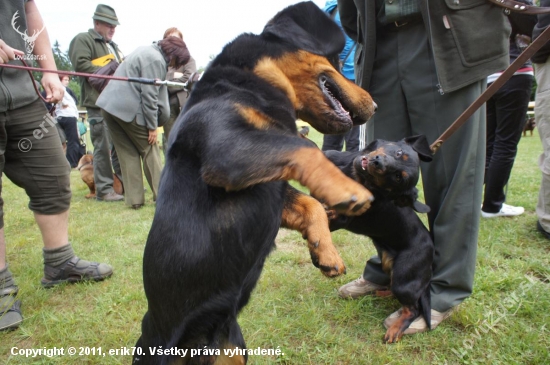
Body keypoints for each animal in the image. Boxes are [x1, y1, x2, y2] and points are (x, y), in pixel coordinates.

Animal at [136, 2, 380, 364]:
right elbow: (304, 148)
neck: (250, 83)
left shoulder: (270, 187)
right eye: (338, 60)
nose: (375, 104)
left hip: (235, 349)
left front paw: (326, 253)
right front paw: (349, 192)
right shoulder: (228, 150)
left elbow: (309, 202)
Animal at [324, 135, 436, 342]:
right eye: (399, 152)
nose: (377, 162)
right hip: (388, 265)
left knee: (413, 309)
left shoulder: (339, 219)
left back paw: (395, 330)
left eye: (398, 177)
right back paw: (381, 292)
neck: (356, 176)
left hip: (403, 279)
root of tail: (432, 251)